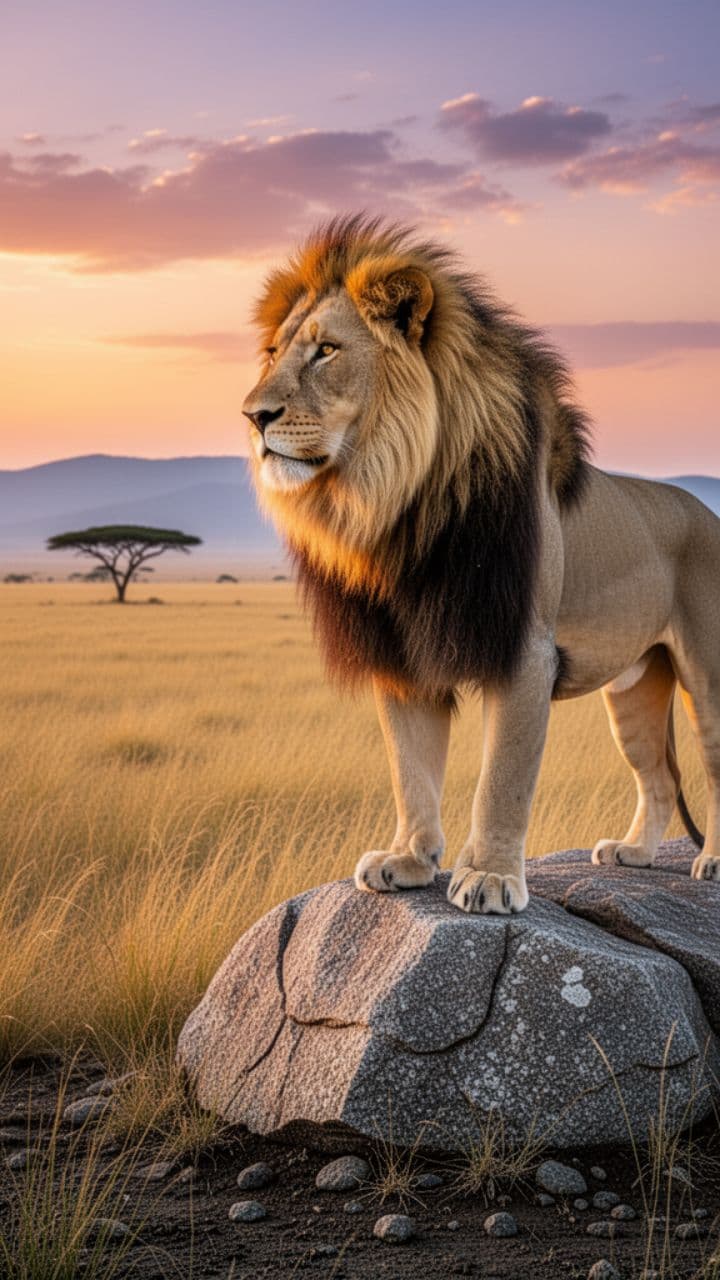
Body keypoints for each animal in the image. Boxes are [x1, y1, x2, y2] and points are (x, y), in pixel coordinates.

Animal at [242, 214, 720, 915]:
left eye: (327, 350)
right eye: (274, 353)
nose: (253, 416)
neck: (402, 505)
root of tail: (708, 514)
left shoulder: (524, 652)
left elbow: (502, 780)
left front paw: (490, 878)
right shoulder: (402, 654)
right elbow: (410, 768)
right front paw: (408, 860)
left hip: (707, 678)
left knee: (714, 763)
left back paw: (711, 862)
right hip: (633, 689)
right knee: (658, 777)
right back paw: (632, 853)